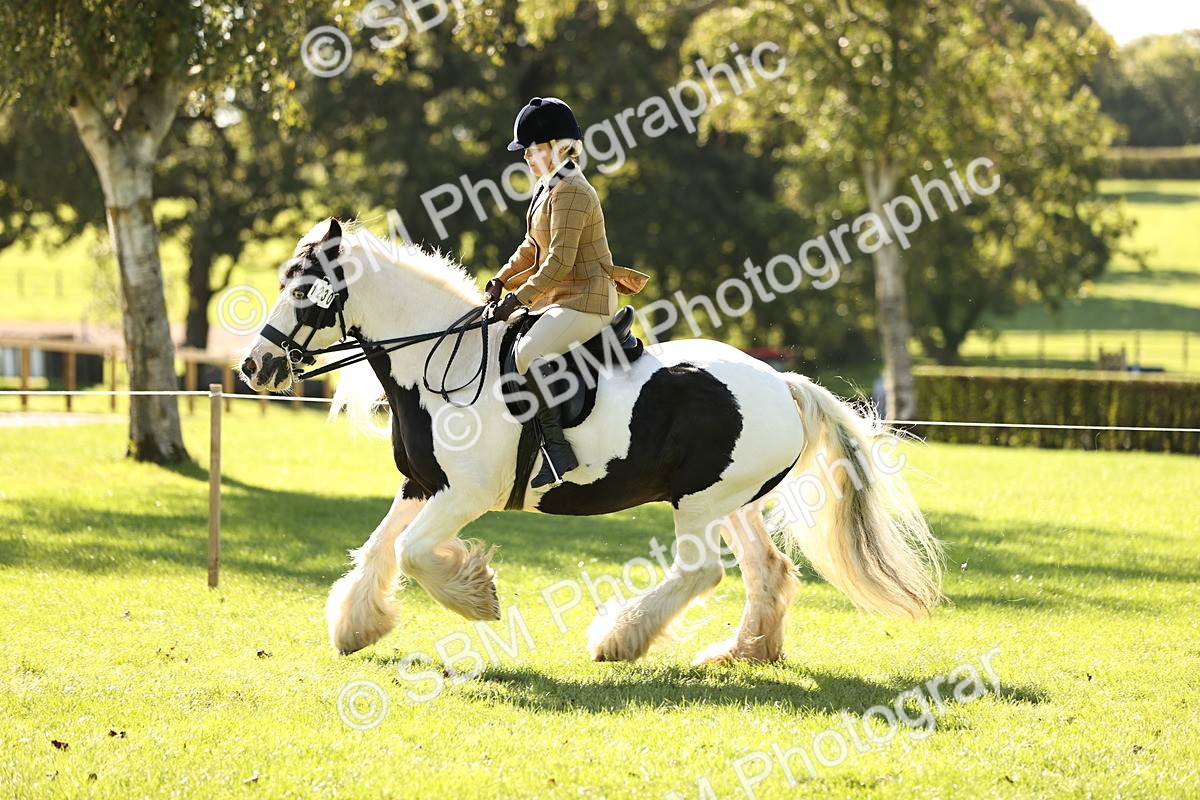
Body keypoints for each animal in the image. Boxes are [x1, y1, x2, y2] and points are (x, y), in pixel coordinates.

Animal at [239, 218, 943, 664]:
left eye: (302, 290)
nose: (255, 367)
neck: (441, 361)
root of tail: (784, 383)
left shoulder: (466, 494)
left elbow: (412, 553)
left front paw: (476, 593)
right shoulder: (422, 485)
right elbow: (379, 548)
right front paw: (356, 626)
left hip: (698, 505)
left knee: (703, 571)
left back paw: (618, 640)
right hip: (729, 502)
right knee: (765, 569)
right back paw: (741, 654)